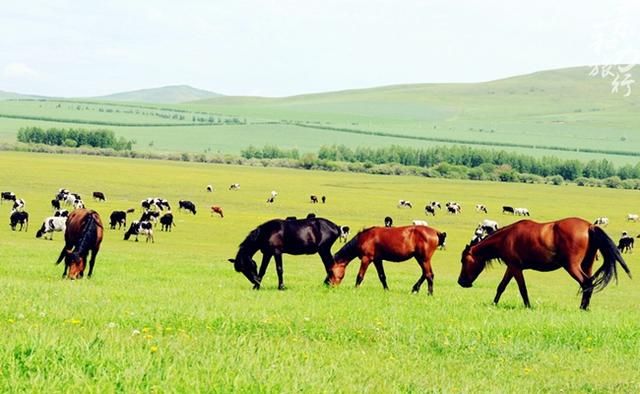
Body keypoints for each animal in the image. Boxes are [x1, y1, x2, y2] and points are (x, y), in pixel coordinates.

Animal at [458, 217, 632, 310]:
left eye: (463, 261)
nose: (461, 282)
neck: (506, 237)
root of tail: (590, 226)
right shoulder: (512, 267)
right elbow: (501, 286)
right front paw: (494, 304)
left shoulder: (515, 267)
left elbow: (522, 289)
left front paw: (528, 306)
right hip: (587, 264)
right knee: (589, 284)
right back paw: (586, 307)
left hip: (572, 266)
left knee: (586, 282)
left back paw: (582, 308)